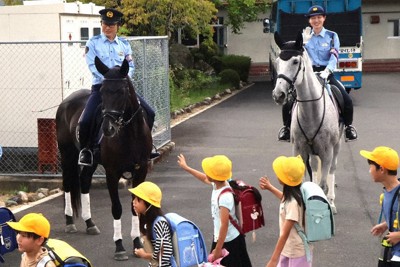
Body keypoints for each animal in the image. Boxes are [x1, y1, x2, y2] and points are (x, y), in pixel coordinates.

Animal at [54, 57, 152, 262]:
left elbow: (134, 207)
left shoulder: (141, 171)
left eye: (122, 91)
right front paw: (119, 247)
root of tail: (66, 101)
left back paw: (90, 223)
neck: (130, 134)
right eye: (103, 92)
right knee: (67, 184)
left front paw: (137, 244)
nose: (108, 129)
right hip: (67, 155)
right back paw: (69, 222)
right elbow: (117, 208)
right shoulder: (112, 173)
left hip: (91, 162)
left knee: (84, 182)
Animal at [272, 31, 344, 215]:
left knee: (332, 170)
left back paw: (332, 202)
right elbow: (303, 183)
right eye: (278, 62)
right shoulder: (300, 150)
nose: (278, 95)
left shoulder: (327, 152)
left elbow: (323, 185)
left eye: (295, 61)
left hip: (336, 146)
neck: (312, 111)